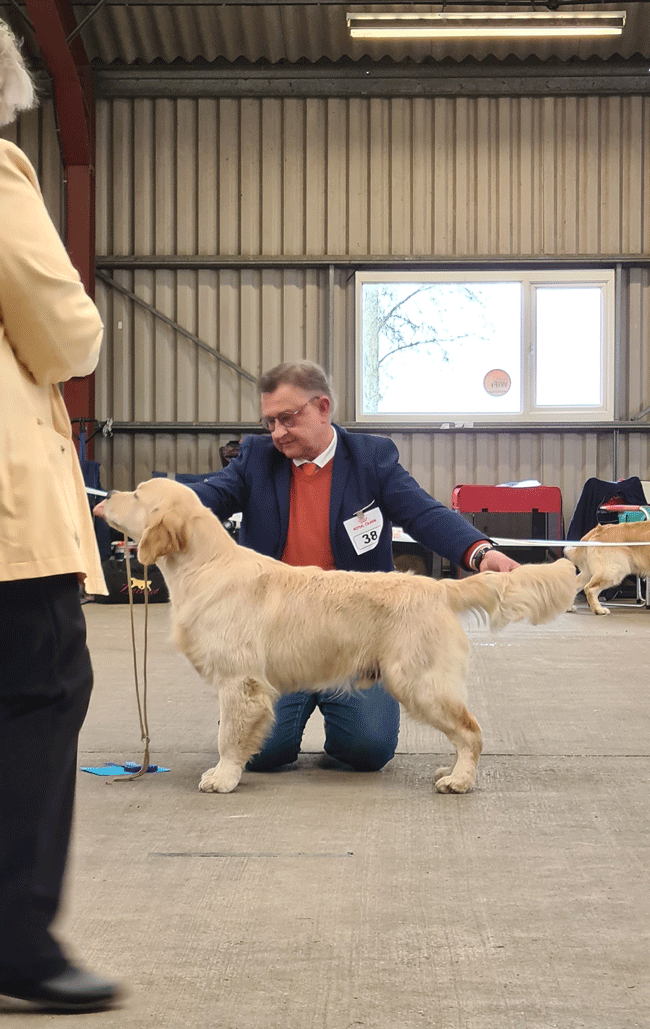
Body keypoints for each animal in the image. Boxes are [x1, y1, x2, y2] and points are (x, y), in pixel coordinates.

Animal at [99, 479, 575, 794]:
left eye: (137, 495)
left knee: (471, 731)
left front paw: (223, 777)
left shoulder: (240, 682)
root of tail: (438, 587)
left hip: (420, 682)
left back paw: (458, 780)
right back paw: (450, 771)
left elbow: (229, 736)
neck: (204, 565)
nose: (104, 498)